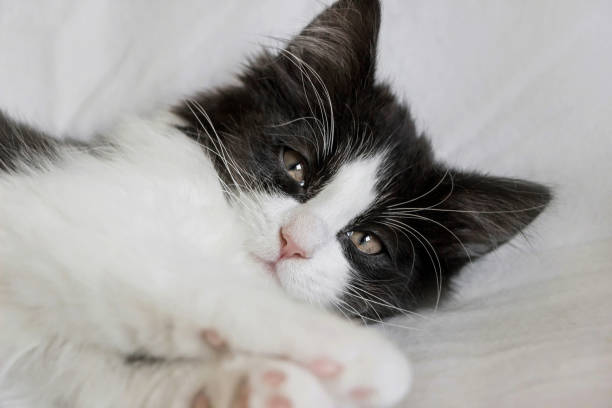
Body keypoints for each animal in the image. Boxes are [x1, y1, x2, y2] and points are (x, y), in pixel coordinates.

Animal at [0, 0, 552, 406]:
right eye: (296, 166)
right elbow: (175, 278)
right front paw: (367, 359)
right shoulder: (43, 210)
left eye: (367, 241)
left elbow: (91, 371)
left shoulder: (47, 355)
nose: (294, 242)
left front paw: (259, 386)